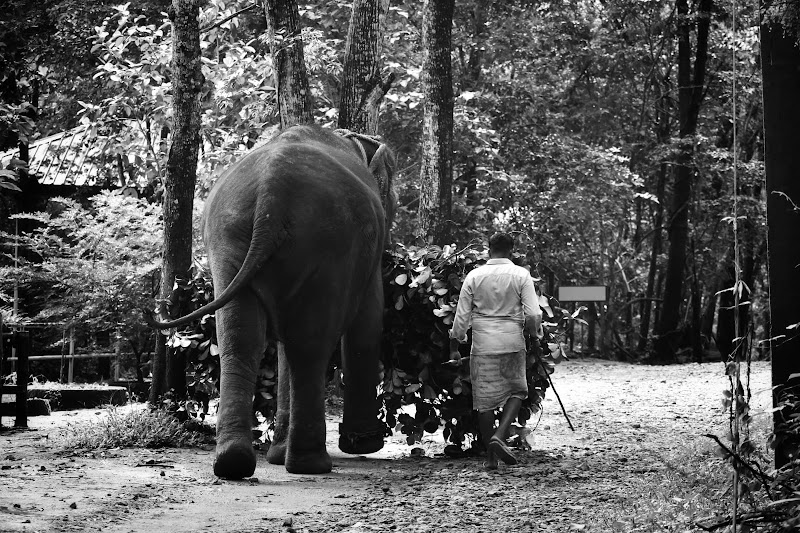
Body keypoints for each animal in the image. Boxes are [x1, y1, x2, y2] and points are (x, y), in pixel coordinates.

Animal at [146, 123, 396, 478]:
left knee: (242, 336)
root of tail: (271, 193)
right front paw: (365, 446)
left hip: (229, 238)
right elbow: (369, 320)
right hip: (329, 244)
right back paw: (310, 465)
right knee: (309, 344)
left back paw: (236, 463)